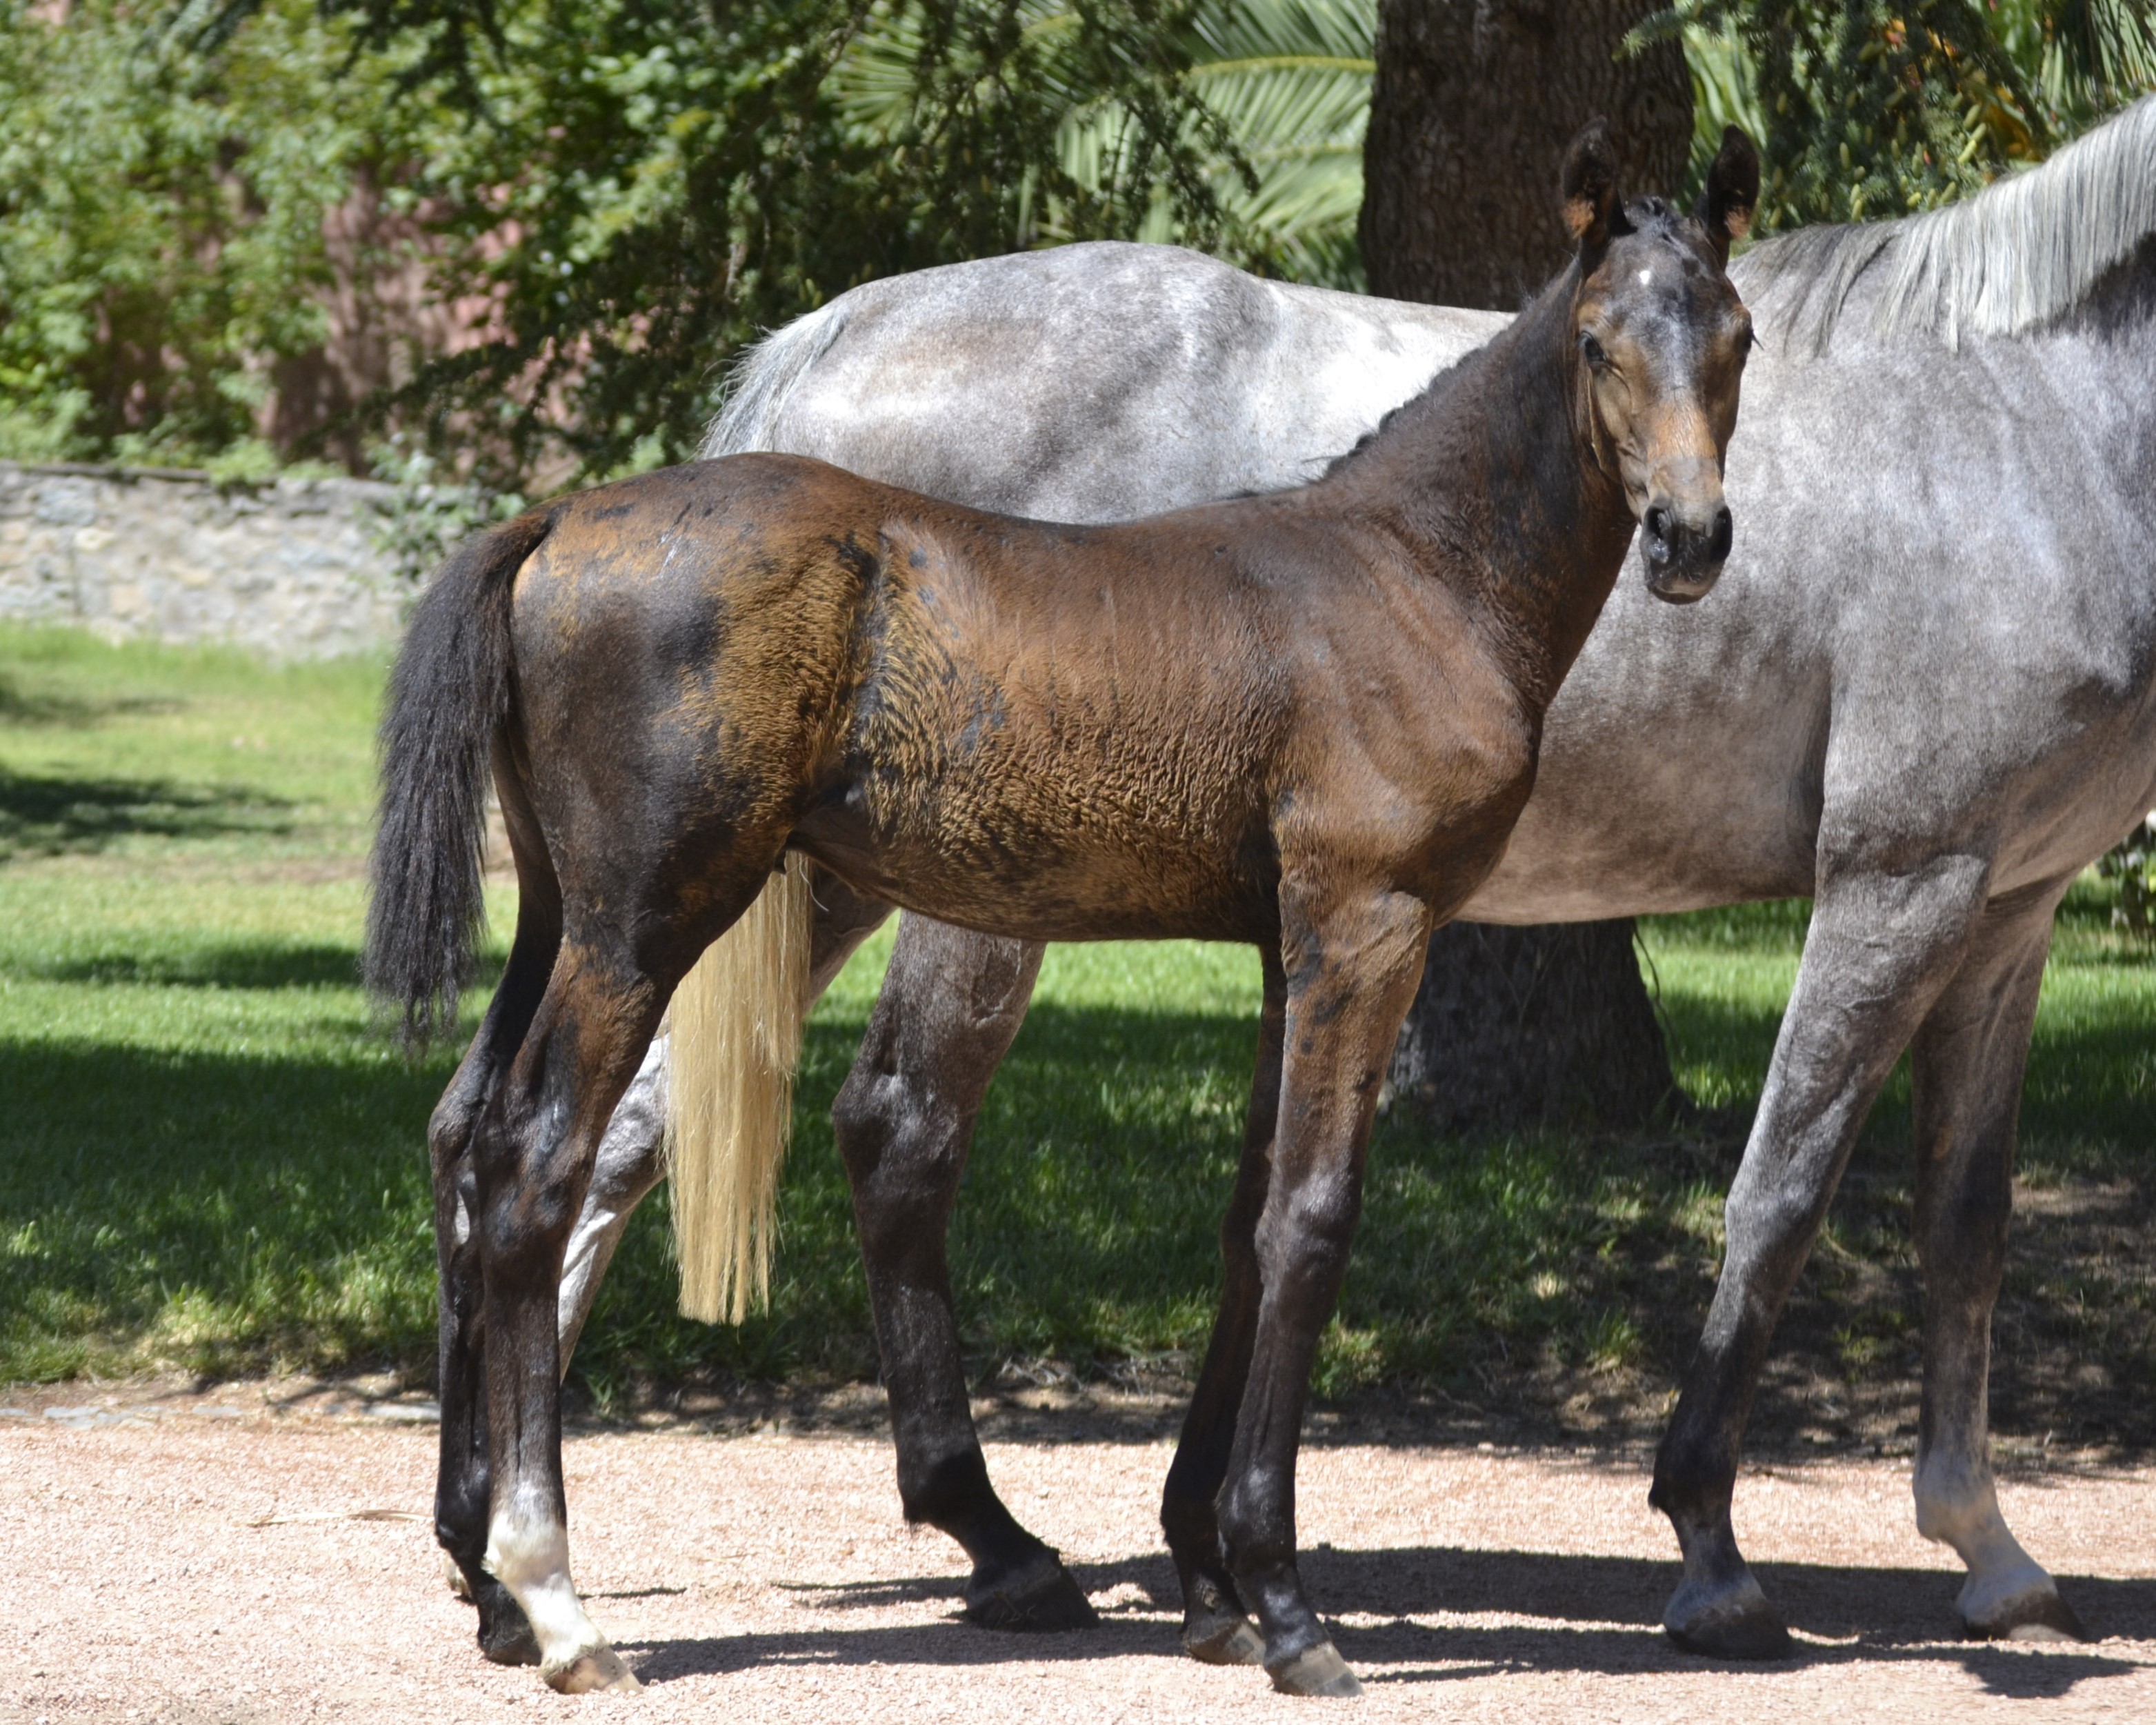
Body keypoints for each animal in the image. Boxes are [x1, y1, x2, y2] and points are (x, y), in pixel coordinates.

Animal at [369, 125, 1760, 1696]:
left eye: (1737, 336)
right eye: (1596, 341)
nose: (1691, 536)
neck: (1412, 573)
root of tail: (554, 517)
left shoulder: (1285, 946)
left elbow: (1246, 1219)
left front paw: (1212, 1582)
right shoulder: (1369, 925)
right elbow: (1313, 1220)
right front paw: (1288, 1608)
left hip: (559, 913)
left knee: (467, 1134)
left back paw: (486, 1580)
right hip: (644, 922)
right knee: (538, 1162)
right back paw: (556, 1597)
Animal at [543, 91, 2156, 1661]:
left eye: (1746, 341)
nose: (1688, 541)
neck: (2022, 425)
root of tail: (830, 347)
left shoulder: (2008, 911)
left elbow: (1967, 1218)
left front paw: (1991, 1550)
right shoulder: (1899, 878)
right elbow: (1783, 1196)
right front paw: (1710, 1551)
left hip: (801, 871)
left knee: (623, 1125)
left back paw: (537, 1525)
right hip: (956, 894)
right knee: (894, 1133)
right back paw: (977, 1541)